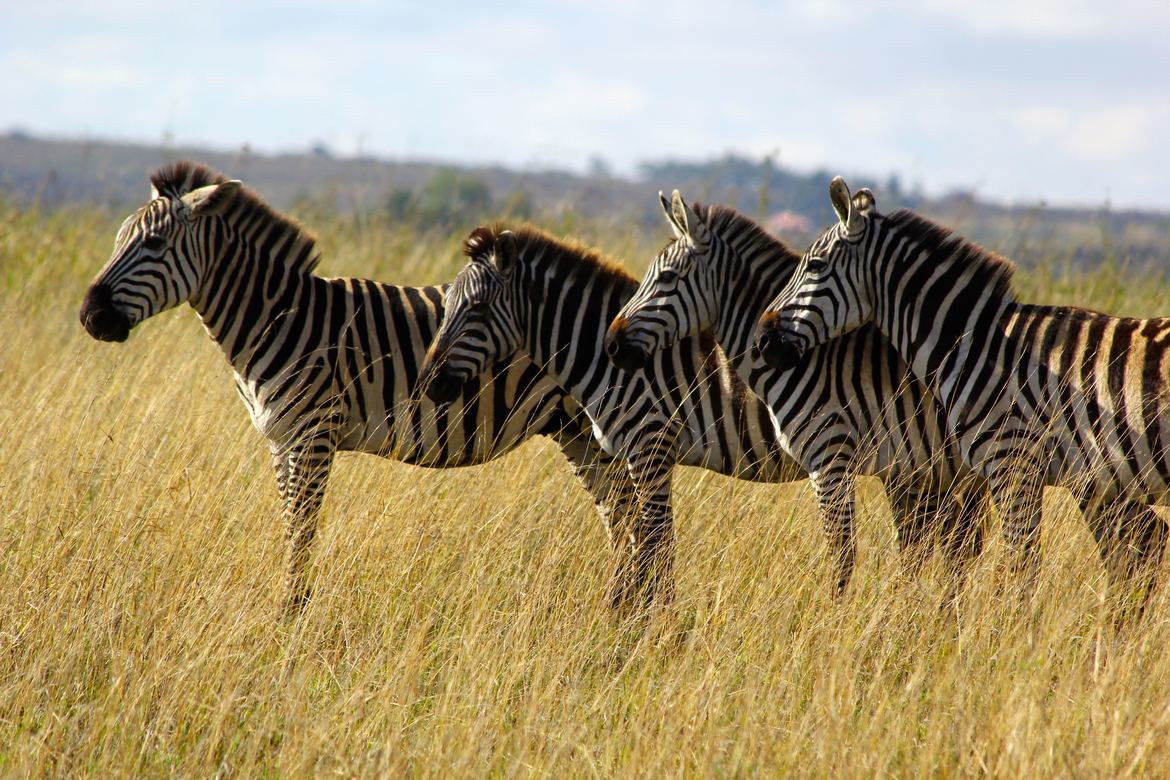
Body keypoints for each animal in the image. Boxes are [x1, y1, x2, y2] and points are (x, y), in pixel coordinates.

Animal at [79, 161, 637, 617]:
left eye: (153, 245)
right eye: (117, 238)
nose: (90, 316)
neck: (279, 318)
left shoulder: (312, 434)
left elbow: (301, 527)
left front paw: (291, 615)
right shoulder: (280, 440)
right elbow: (289, 522)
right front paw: (292, 607)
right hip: (578, 433)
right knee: (623, 515)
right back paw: (622, 612)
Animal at [419, 224, 805, 609]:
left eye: (478, 308)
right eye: (447, 306)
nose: (429, 382)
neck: (605, 359)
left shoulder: (651, 446)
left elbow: (656, 543)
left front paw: (657, 620)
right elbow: (640, 537)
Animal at [605, 191, 987, 595]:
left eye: (666, 277)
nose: (611, 345)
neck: (805, 362)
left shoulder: (830, 457)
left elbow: (842, 553)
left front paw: (835, 608)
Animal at [755, 176, 1169, 614]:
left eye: (815, 266)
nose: (762, 340)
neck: (980, 350)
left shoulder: (1014, 464)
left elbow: (1022, 567)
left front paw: (1014, 629)